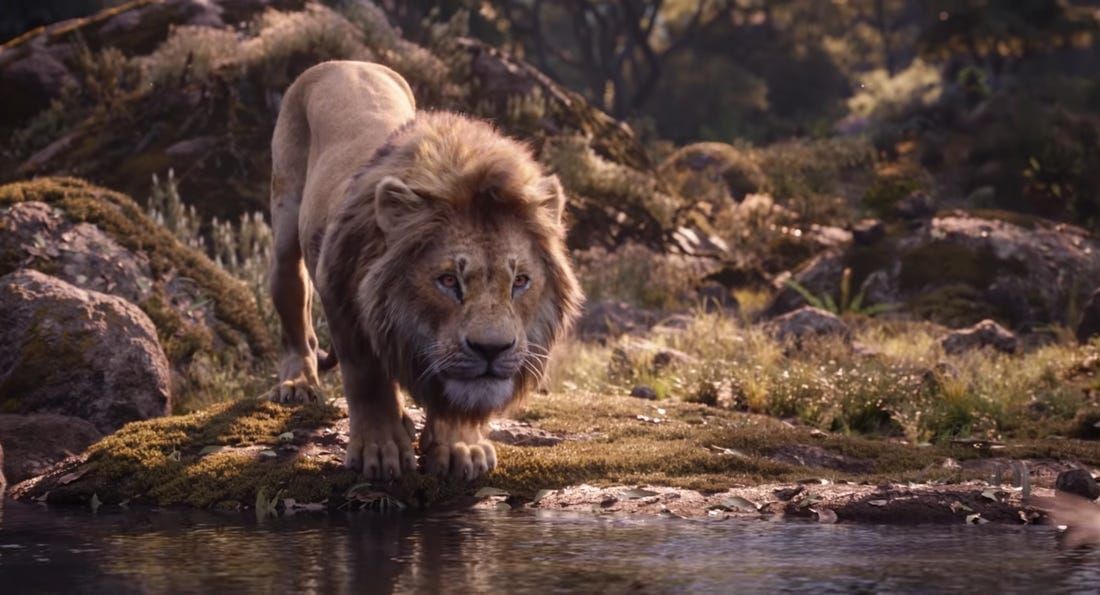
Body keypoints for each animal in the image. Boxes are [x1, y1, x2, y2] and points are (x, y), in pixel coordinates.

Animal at [267, 61, 583, 481]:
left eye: (520, 282)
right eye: (448, 281)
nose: (492, 349)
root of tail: (346, 62)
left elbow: (455, 397)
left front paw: (461, 447)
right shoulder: (340, 294)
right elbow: (367, 379)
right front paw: (379, 450)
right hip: (285, 231)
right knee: (295, 311)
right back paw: (297, 383)